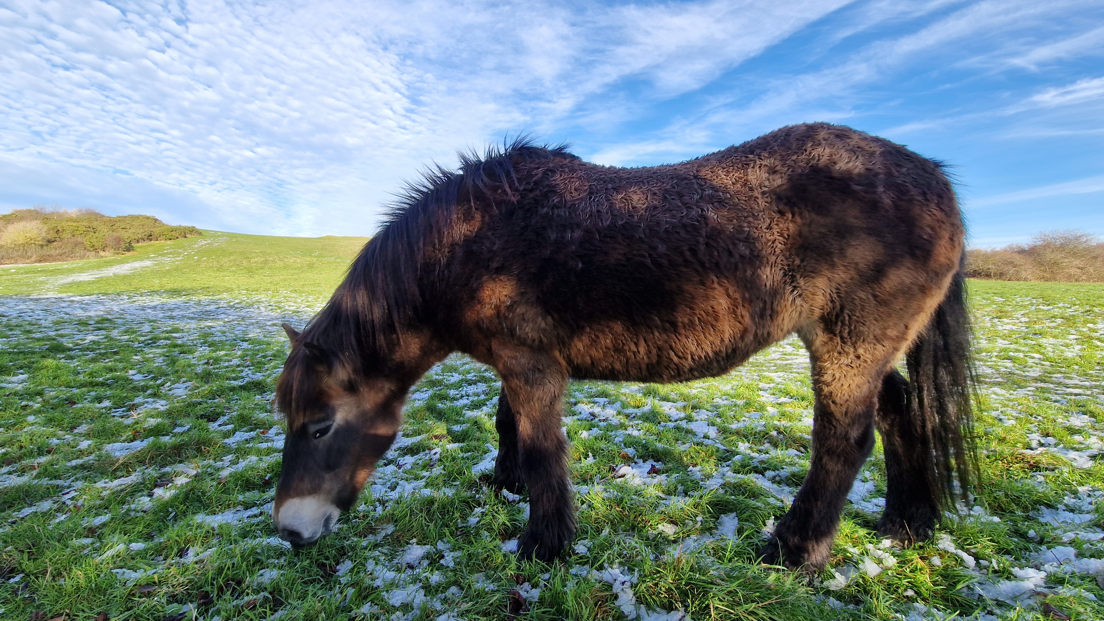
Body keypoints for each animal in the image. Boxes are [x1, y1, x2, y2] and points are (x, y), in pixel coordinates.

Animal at [272, 123, 976, 572]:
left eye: (320, 426)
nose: (289, 531)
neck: (470, 239)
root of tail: (935, 180)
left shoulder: (531, 365)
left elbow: (540, 444)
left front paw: (544, 544)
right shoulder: (514, 363)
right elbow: (506, 423)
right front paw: (505, 484)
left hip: (846, 344)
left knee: (844, 442)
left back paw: (794, 552)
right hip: (864, 347)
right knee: (900, 413)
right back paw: (907, 524)